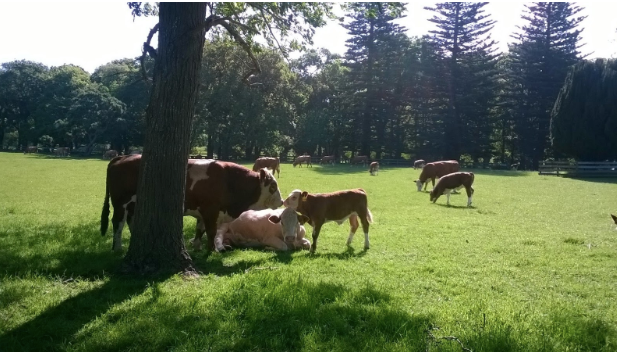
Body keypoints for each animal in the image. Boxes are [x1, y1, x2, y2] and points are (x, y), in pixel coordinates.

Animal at [101, 155, 284, 252]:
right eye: (273, 187)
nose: (282, 201)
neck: (228, 181)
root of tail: (124, 156)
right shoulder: (210, 210)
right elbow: (210, 231)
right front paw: (212, 249)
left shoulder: (203, 212)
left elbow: (200, 230)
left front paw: (197, 246)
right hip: (121, 205)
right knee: (118, 223)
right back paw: (117, 247)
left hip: (133, 206)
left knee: (131, 222)